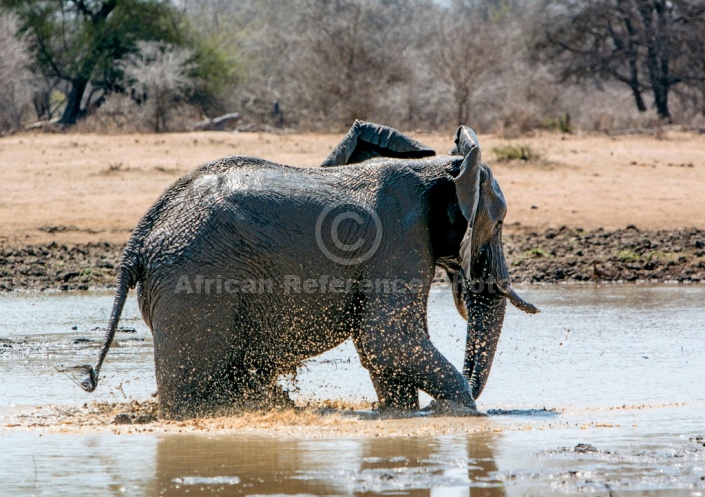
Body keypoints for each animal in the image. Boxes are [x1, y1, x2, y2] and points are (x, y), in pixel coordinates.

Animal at [77, 121, 536, 418]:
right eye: (498, 223)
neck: (440, 168)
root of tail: (139, 239)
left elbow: (381, 345)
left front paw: (402, 413)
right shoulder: (400, 239)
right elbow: (388, 338)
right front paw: (466, 413)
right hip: (192, 281)